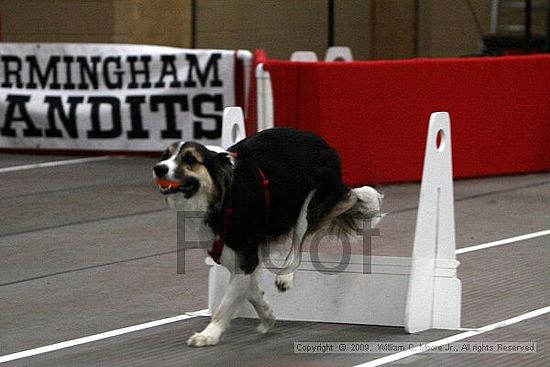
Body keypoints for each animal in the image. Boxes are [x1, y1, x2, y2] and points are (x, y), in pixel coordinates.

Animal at [153, 129, 382, 348]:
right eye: (165, 155)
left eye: (190, 159)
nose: (159, 168)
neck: (222, 195)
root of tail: (325, 144)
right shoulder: (235, 257)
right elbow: (251, 292)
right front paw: (267, 316)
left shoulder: (245, 257)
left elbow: (225, 304)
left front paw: (208, 334)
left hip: (308, 206)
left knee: (298, 243)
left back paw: (285, 276)